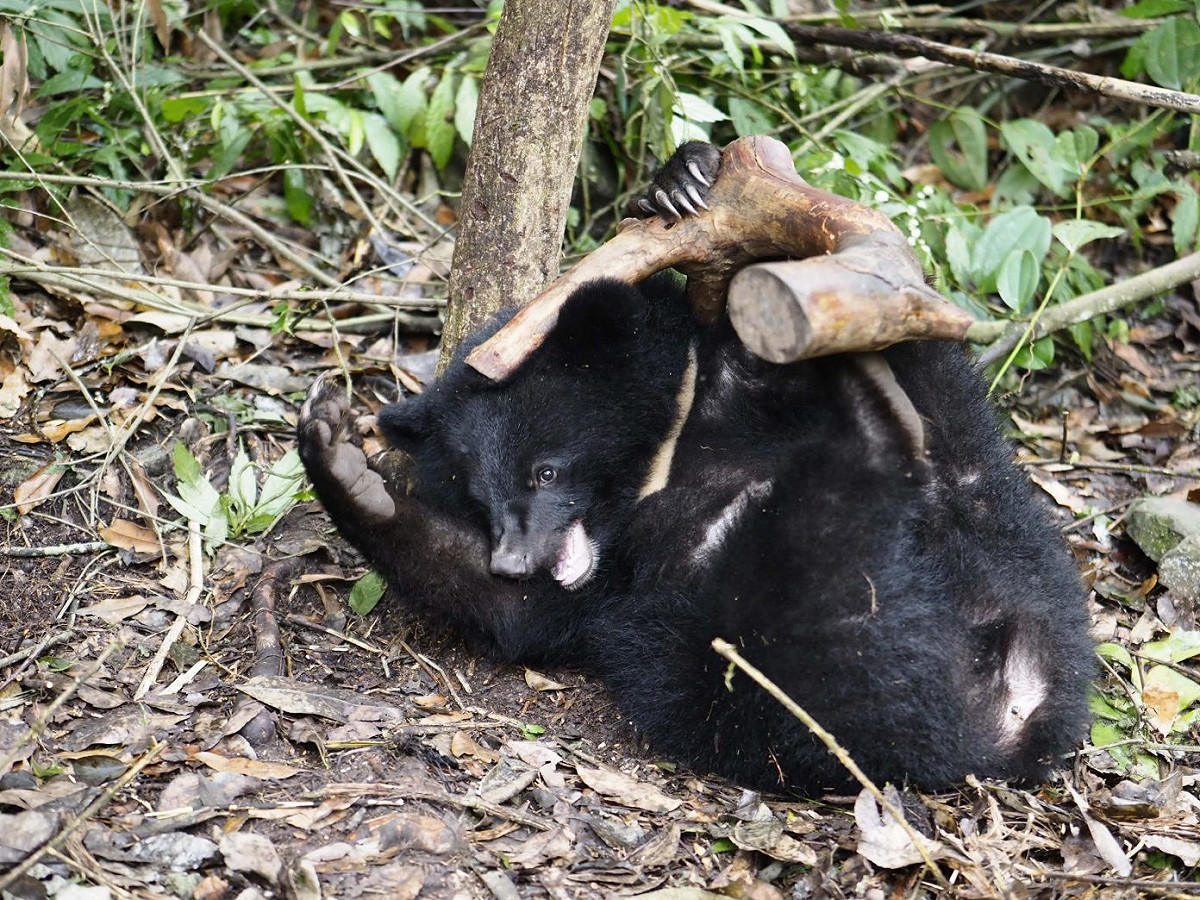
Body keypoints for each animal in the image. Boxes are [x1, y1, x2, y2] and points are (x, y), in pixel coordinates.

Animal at [297, 141, 1093, 793]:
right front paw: (342, 462)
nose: (515, 558)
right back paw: (871, 424)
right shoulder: (609, 589)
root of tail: (1011, 720)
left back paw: (871, 398)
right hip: (776, 659)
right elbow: (517, 613)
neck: (663, 448)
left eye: (546, 472)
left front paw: (683, 180)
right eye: (478, 497)